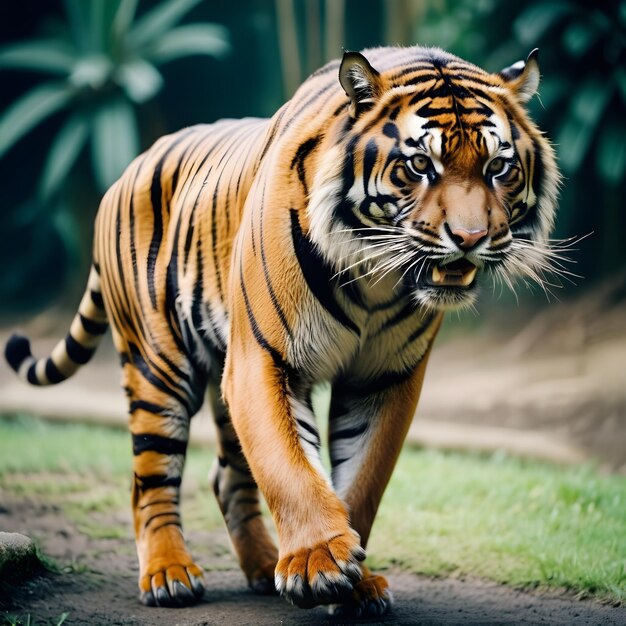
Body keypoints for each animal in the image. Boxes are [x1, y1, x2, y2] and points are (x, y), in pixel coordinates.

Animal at [4, 45, 556, 616]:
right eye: (420, 165)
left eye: (498, 167)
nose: (470, 238)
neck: (374, 277)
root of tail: (125, 171)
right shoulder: (264, 359)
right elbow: (289, 466)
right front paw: (318, 562)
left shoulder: (384, 378)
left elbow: (361, 480)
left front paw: (353, 581)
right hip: (157, 365)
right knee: (149, 478)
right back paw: (168, 574)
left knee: (228, 476)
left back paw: (263, 566)